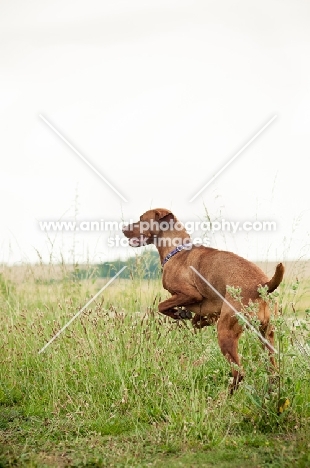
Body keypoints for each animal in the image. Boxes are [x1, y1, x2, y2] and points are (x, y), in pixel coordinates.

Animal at [122, 208, 284, 392]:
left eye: (142, 219)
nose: (123, 229)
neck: (176, 250)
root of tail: (263, 286)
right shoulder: (212, 309)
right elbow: (196, 320)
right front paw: (191, 318)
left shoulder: (190, 294)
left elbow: (161, 305)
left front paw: (179, 314)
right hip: (267, 337)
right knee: (272, 371)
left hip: (226, 332)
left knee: (239, 373)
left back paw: (225, 396)